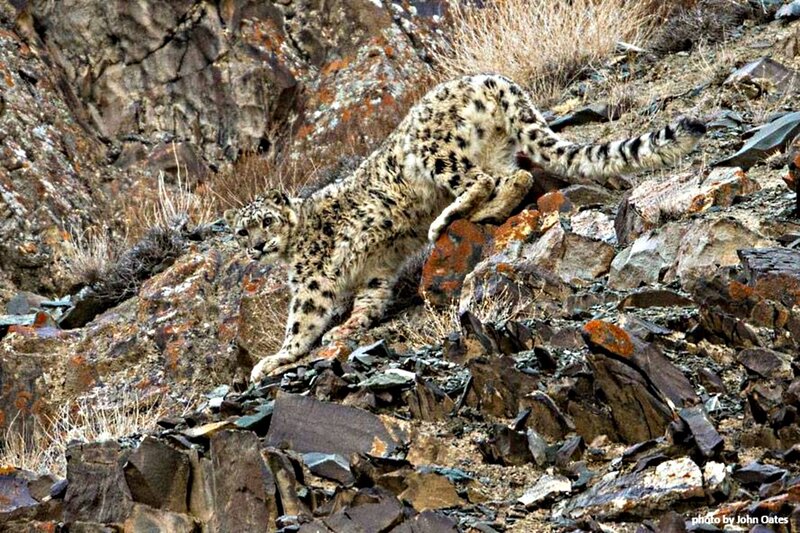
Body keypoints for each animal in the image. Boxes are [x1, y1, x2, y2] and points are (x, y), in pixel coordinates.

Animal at [226, 74, 706, 383]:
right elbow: (368, 302)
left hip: (435, 150)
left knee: (480, 180)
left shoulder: (313, 280)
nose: (256, 247)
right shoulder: (376, 273)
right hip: (495, 149)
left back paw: (447, 220)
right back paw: (484, 214)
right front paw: (348, 328)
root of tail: (490, 79)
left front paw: (275, 359)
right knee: (516, 177)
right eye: (242, 232)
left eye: (265, 222)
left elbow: (301, 320)